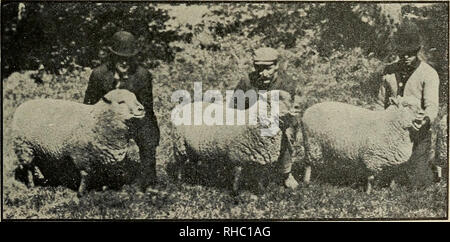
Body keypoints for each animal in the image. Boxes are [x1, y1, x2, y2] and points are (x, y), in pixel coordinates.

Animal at [12, 89, 145, 197]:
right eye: (121, 102)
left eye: (135, 98)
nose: (141, 109)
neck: (97, 121)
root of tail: (23, 105)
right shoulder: (81, 156)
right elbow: (85, 174)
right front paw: (81, 194)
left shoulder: (104, 157)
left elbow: (104, 172)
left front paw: (104, 189)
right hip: (25, 148)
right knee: (28, 168)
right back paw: (31, 186)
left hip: (40, 150)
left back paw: (45, 180)